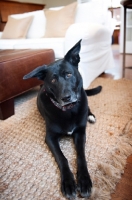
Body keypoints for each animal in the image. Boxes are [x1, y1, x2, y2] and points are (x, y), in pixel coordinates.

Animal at [23, 40, 102, 198]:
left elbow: (81, 155)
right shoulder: (50, 137)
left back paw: (91, 116)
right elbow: (62, 158)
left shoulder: (80, 133)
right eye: (53, 79)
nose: (66, 97)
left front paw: (84, 180)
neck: (68, 110)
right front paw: (69, 183)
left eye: (69, 74)